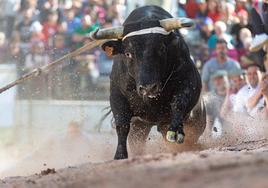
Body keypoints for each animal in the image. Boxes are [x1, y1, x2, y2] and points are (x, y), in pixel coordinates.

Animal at [91, 5, 206, 160]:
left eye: (161, 48)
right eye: (128, 53)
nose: (149, 88)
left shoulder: (189, 81)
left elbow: (178, 102)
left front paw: (175, 131)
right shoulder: (117, 95)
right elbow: (122, 124)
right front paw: (120, 155)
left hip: (194, 122)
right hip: (140, 127)